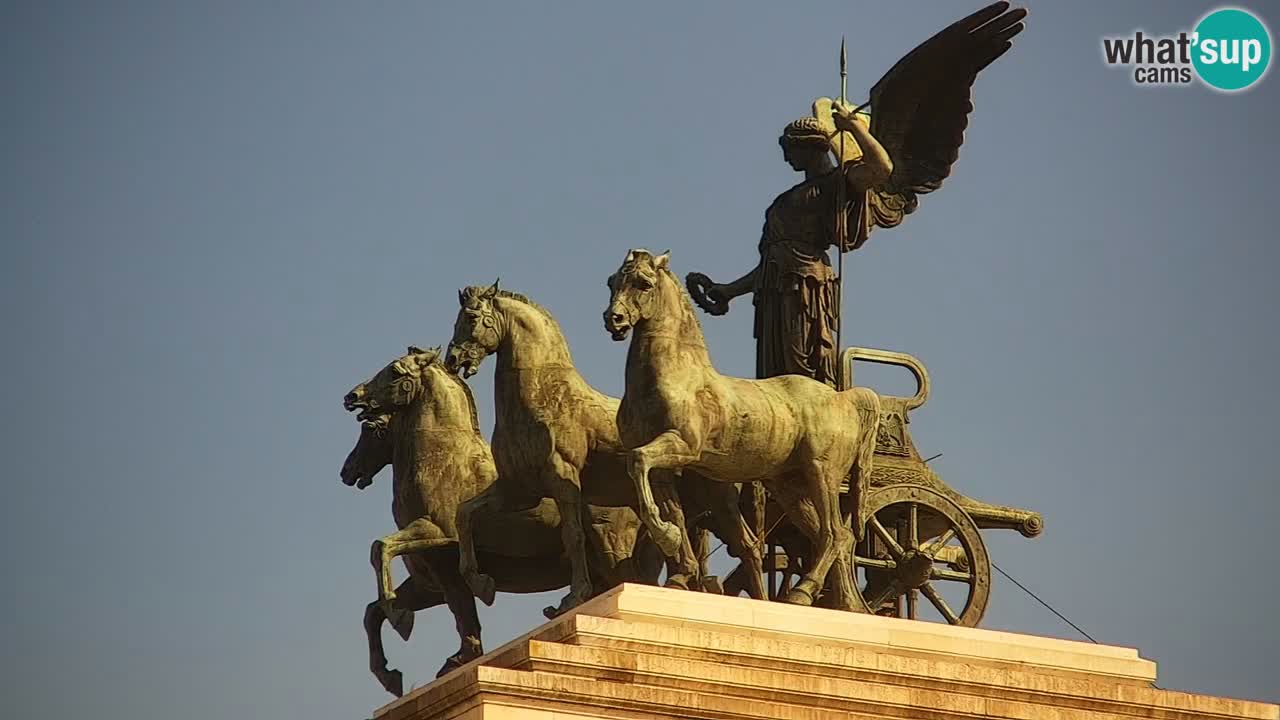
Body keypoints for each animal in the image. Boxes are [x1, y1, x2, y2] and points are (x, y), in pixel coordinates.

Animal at [601, 249, 880, 607]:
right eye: (612, 281)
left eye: (643, 283)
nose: (614, 319)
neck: (669, 377)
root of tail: (843, 397)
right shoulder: (665, 468)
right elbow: (672, 509)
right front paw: (679, 573)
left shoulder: (680, 446)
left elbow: (637, 460)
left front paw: (667, 538)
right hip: (790, 486)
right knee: (834, 538)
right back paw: (843, 604)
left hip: (822, 475)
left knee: (835, 533)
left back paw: (802, 593)